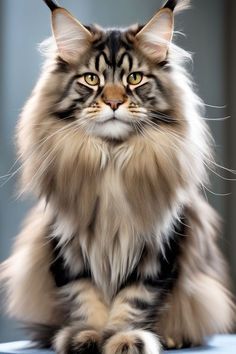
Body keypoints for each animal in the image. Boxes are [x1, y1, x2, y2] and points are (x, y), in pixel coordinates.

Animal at [0, 0, 234, 352]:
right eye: (91, 78)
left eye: (134, 78)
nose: (113, 101)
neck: (111, 162)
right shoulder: (68, 248)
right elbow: (86, 298)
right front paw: (88, 335)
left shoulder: (157, 250)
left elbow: (133, 302)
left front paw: (123, 338)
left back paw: (171, 337)